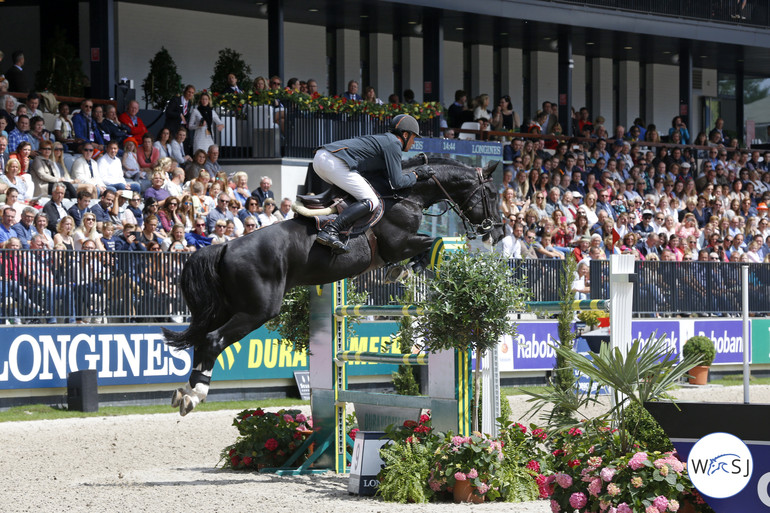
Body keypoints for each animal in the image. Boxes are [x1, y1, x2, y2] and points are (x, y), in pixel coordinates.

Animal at [163, 154, 500, 414]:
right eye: (493, 194)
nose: (495, 233)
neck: (407, 195)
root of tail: (224, 248)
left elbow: (425, 247)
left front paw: (401, 271)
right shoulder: (398, 243)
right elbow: (431, 243)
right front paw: (405, 270)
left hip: (226, 308)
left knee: (201, 339)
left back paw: (185, 392)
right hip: (257, 311)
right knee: (213, 341)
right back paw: (196, 395)